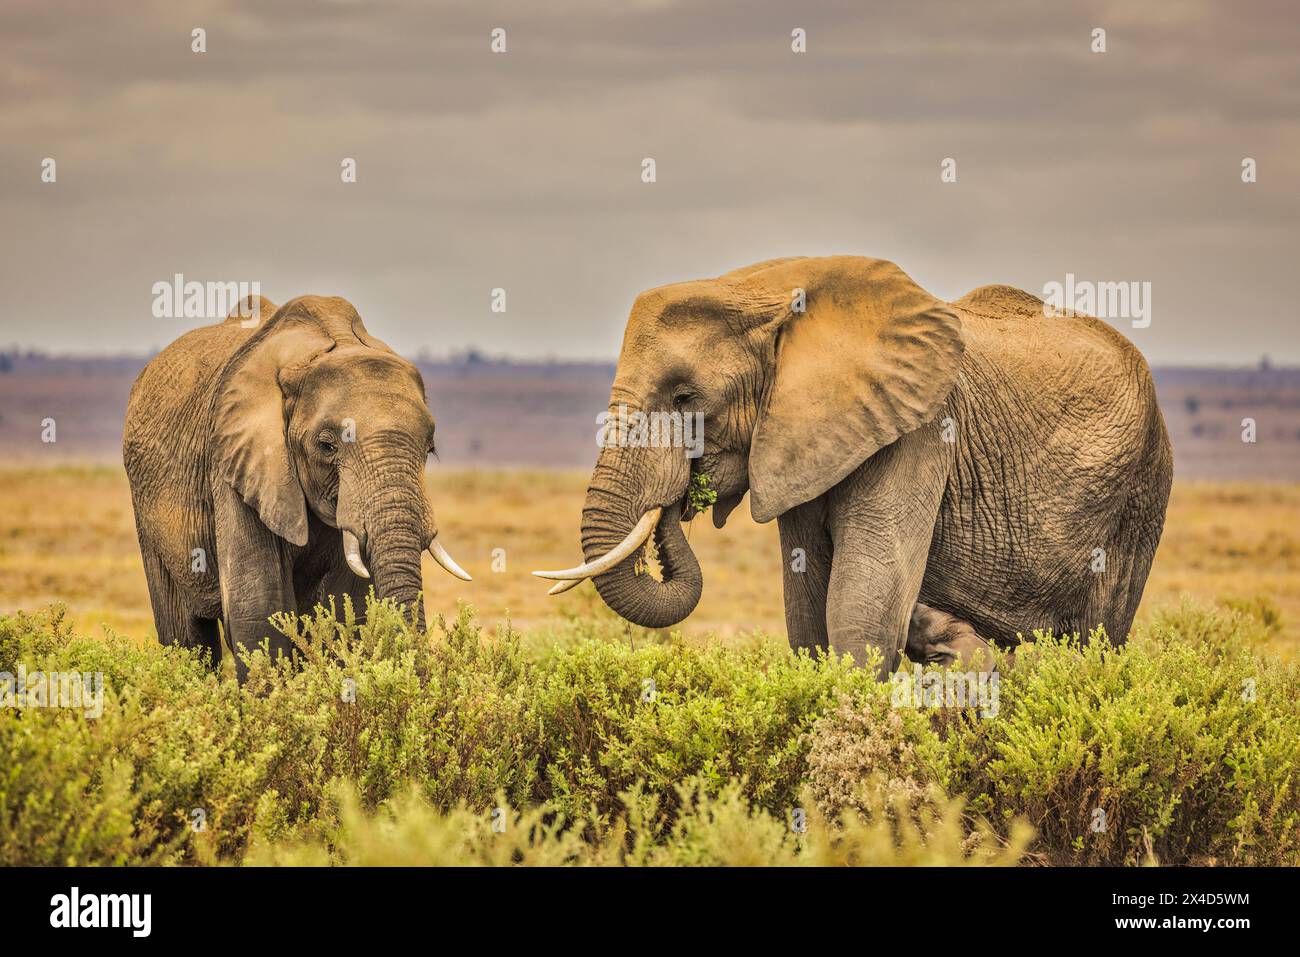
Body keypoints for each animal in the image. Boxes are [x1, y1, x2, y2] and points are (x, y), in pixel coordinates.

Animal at [124, 293, 470, 681]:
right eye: (327, 446)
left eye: (429, 449)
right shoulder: (231, 461)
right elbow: (258, 609)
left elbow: (346, 609)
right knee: (186, 638)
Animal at [533, 254, 1175, 670]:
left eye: (686, 398)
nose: (681, 497)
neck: (769, 293)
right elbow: (808, 613)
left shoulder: (919, 431)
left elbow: (860, 612)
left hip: (1140, 496)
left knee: (1096, 643)